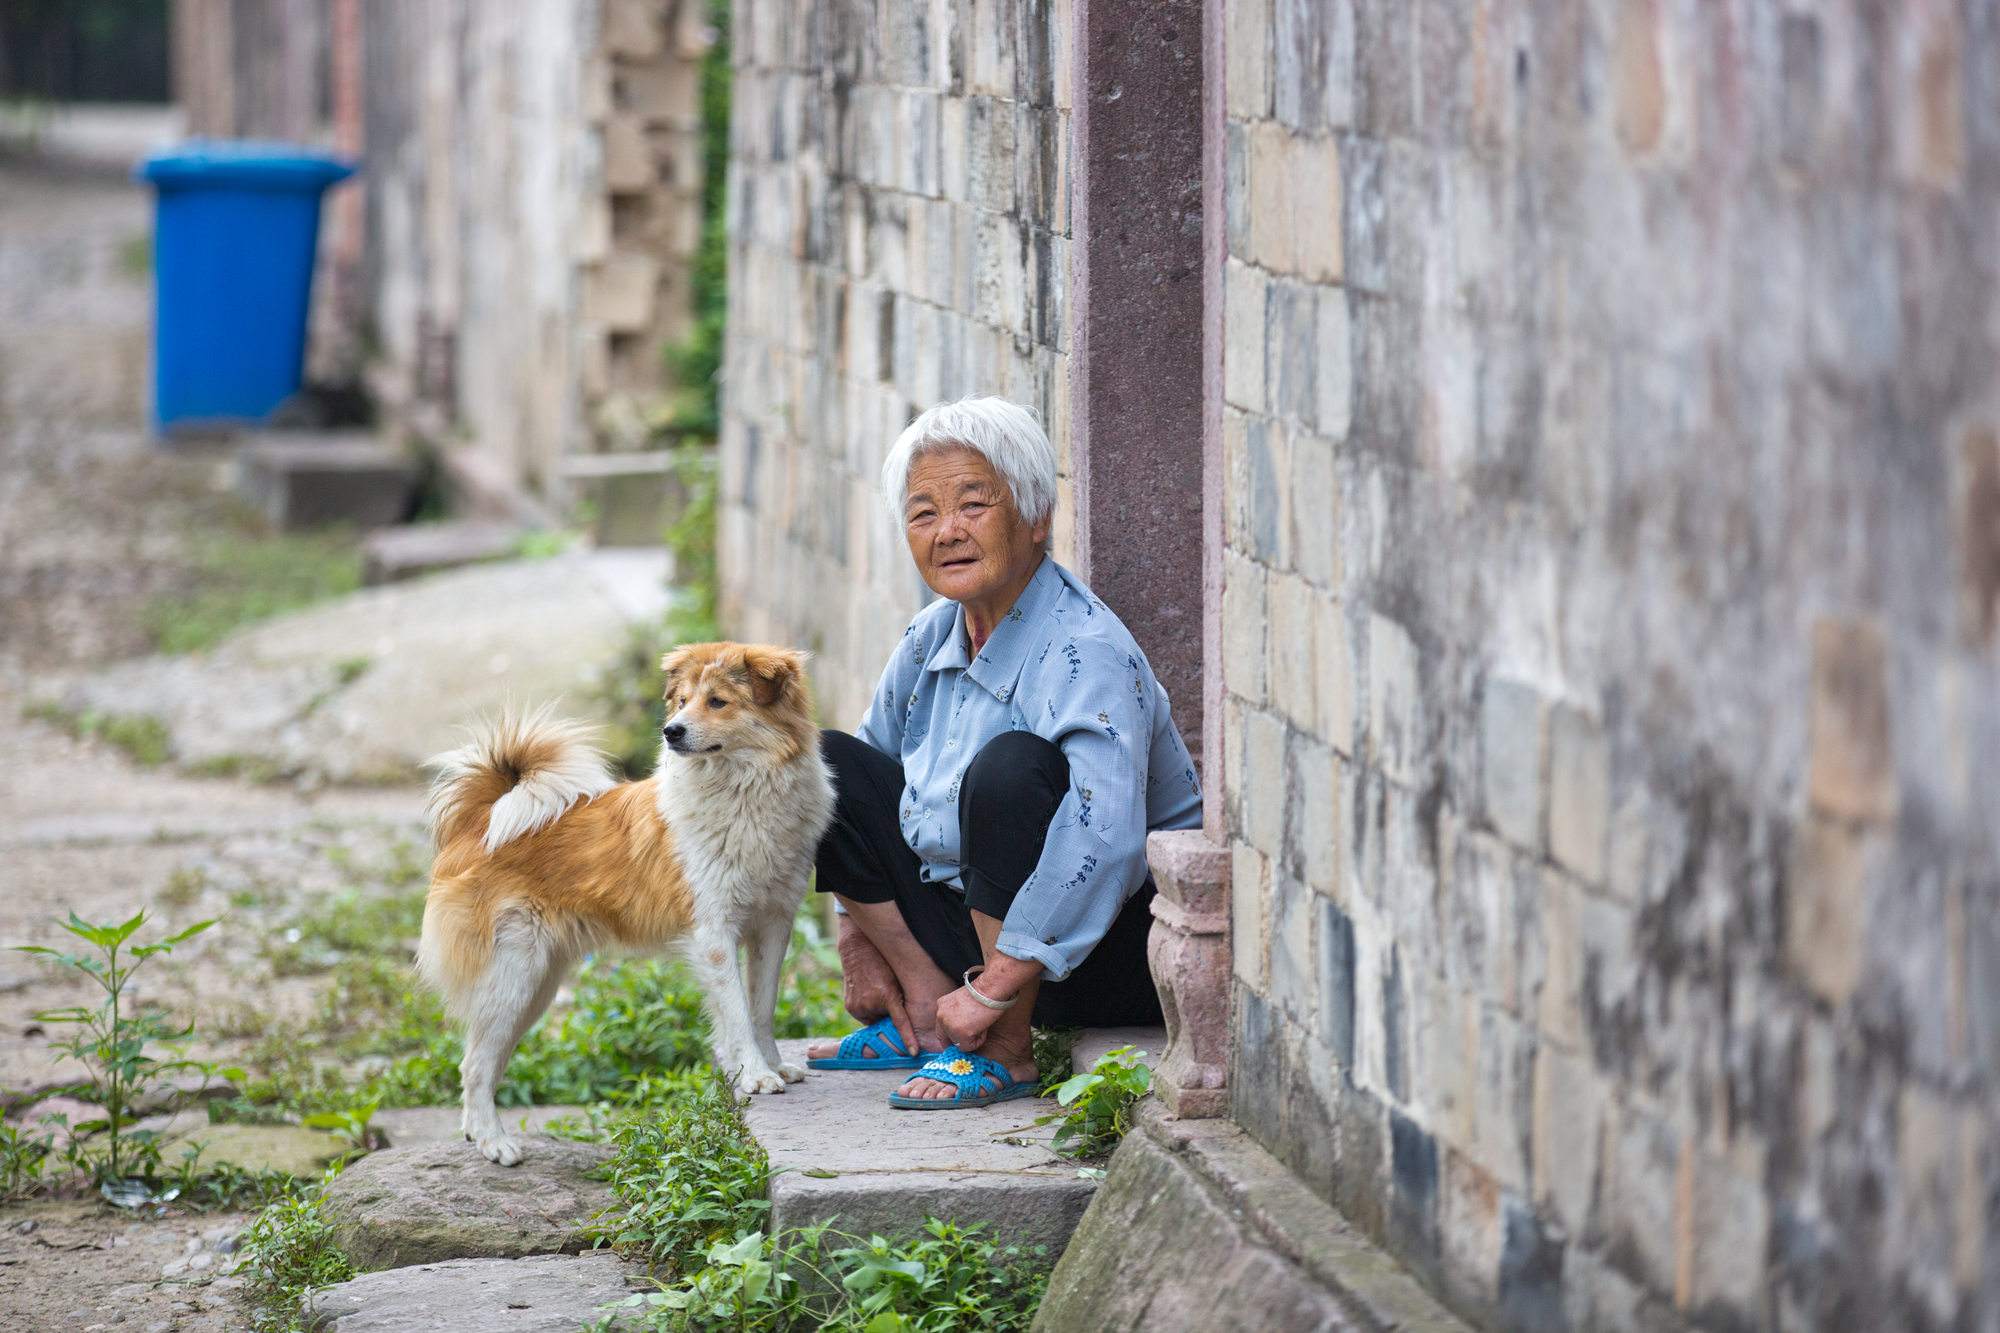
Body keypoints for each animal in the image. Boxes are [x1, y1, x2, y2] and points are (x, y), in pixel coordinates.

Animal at [418, 640, 832, 1160]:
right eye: (682, 702)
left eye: (718, 702)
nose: (671, 732)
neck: (743, 791)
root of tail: (482, 819)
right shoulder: (713, 934)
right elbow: (737, 1012)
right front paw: (756, 1075)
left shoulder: (773, 924)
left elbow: (761, 1008)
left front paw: (772, 1066)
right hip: (512, 975)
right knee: (473, 1064)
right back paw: (494, 1142)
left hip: (535, 986)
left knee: (487, 1060)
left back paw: (480, 1133)